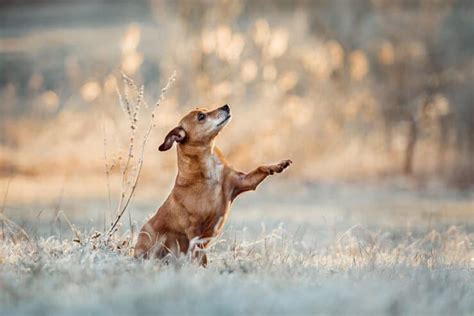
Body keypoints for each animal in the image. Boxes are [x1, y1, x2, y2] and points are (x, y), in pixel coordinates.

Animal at [133, 104, 292, 264]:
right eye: (201, 116)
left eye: (205, 110)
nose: (226, 106)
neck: (210, 169)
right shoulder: (195, 230)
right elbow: (199, 254)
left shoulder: (243, 182)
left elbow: (260, 168)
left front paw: (277, 166)